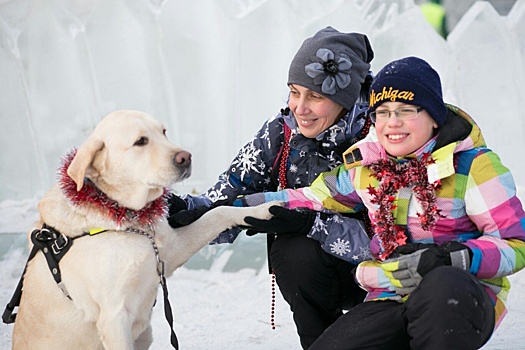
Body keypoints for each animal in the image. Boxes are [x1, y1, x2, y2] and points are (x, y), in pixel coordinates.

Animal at [9, 110, 278, 350]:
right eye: (140, 141)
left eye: (164, 132)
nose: (186, 157)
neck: (127, 219)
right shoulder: (113, 317)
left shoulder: (170, 252)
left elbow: (218, 212)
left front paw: (264, 209)